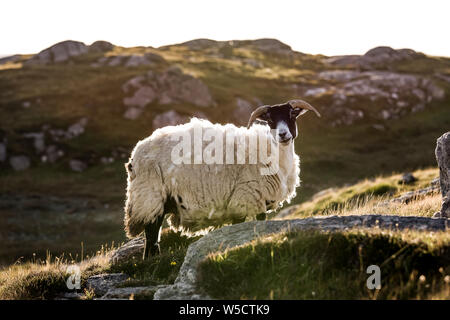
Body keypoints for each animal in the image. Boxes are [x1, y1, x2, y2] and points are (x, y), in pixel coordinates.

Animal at [123, 99, 320, 258]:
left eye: (291, 115)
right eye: (270, 119)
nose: (283, 134)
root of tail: (135, 154)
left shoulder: (254, 200)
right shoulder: (245, 195)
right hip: (149, 195)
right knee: (151, 231)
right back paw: (150, 259)